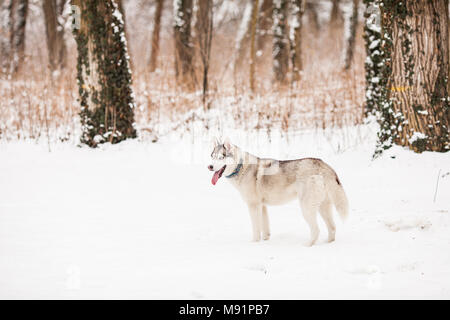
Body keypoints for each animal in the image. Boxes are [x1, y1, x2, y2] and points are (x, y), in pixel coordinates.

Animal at [209, 139, 350, 246]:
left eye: (221, 157)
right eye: (212, 157)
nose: (209, 166)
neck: (241, 166)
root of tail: (323, 165)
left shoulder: (254, 206)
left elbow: (256, 230)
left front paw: (254, 244)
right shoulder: (262, 206)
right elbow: (265, 229)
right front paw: (265, 240)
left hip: (306, 208)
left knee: (316, 230)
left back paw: (307, 245)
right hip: (323, 207)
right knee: (332, 228)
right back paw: (328, 244)